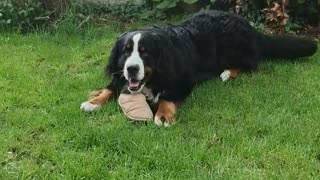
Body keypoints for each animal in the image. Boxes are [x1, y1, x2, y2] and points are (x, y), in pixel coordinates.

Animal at [80, 9, 318, 126]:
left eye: (145, 52)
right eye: (126, 51)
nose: (131, 69)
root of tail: (249, 27)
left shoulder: (181, 81)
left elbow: (168, 97)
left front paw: (164, 116)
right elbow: (112, 86)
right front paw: (94, 100)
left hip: (233, 48)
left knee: (250, 64)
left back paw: (227, 73)